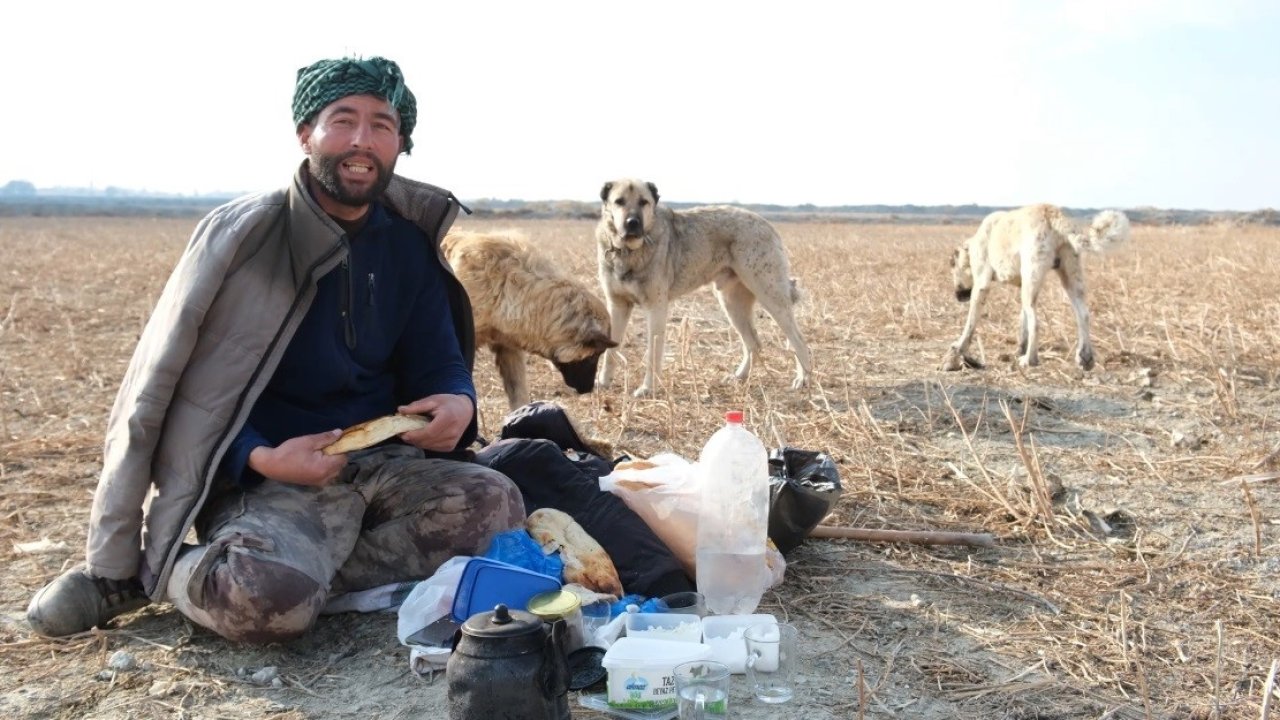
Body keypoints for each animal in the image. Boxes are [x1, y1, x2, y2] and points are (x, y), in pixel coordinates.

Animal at [596, 176, 814, 394]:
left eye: (643, 202)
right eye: (619, 201)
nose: (632, 223)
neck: (627, 252)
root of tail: (766, 223)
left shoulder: (656, 308)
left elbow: (653, 353)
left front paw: (648, 389)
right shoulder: (617, 305)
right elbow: (609, 351)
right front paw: (604, 382)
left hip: (770, 295)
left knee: (798, 339)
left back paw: (803, 379)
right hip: (732, 303)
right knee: (754, 343)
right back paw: (739, 377)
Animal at [942, 202, 1131, 368]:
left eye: (952, 266)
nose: (957, 297)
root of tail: (1052, 213)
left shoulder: (981, 286)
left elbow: (970, 323)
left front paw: (959, 347)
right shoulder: (1023, 287)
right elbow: (1023, 322)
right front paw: (1020, 349)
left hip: (1033, 280)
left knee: (1036, 323)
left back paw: (1030, 360)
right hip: (1068, 279)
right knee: (1083, 315)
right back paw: (1085, 358)